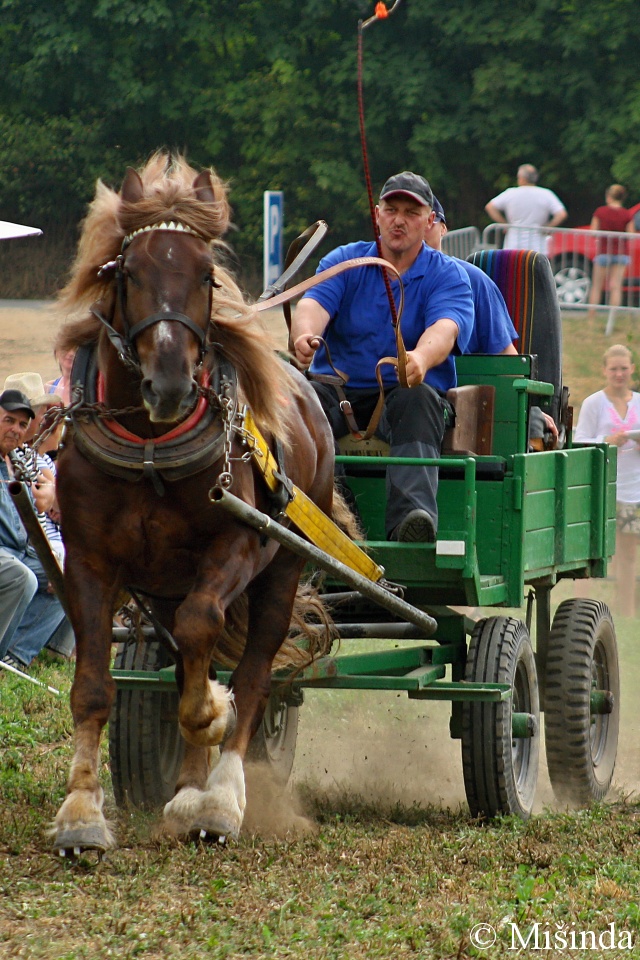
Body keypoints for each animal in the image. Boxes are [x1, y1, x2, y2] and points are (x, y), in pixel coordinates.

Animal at [52, 154, 338, 852]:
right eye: (127, 272)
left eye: (208, 275)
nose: (171, 384)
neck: (151, 448)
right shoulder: (91, 560)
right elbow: (94, 686)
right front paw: (81, 812)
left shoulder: (238, 545)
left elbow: (207, 636)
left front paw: (212, 715)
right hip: (163, 584)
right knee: (184, 654)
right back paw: (185, 790)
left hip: (285, 566)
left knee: (254, 666)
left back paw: (220, 797)